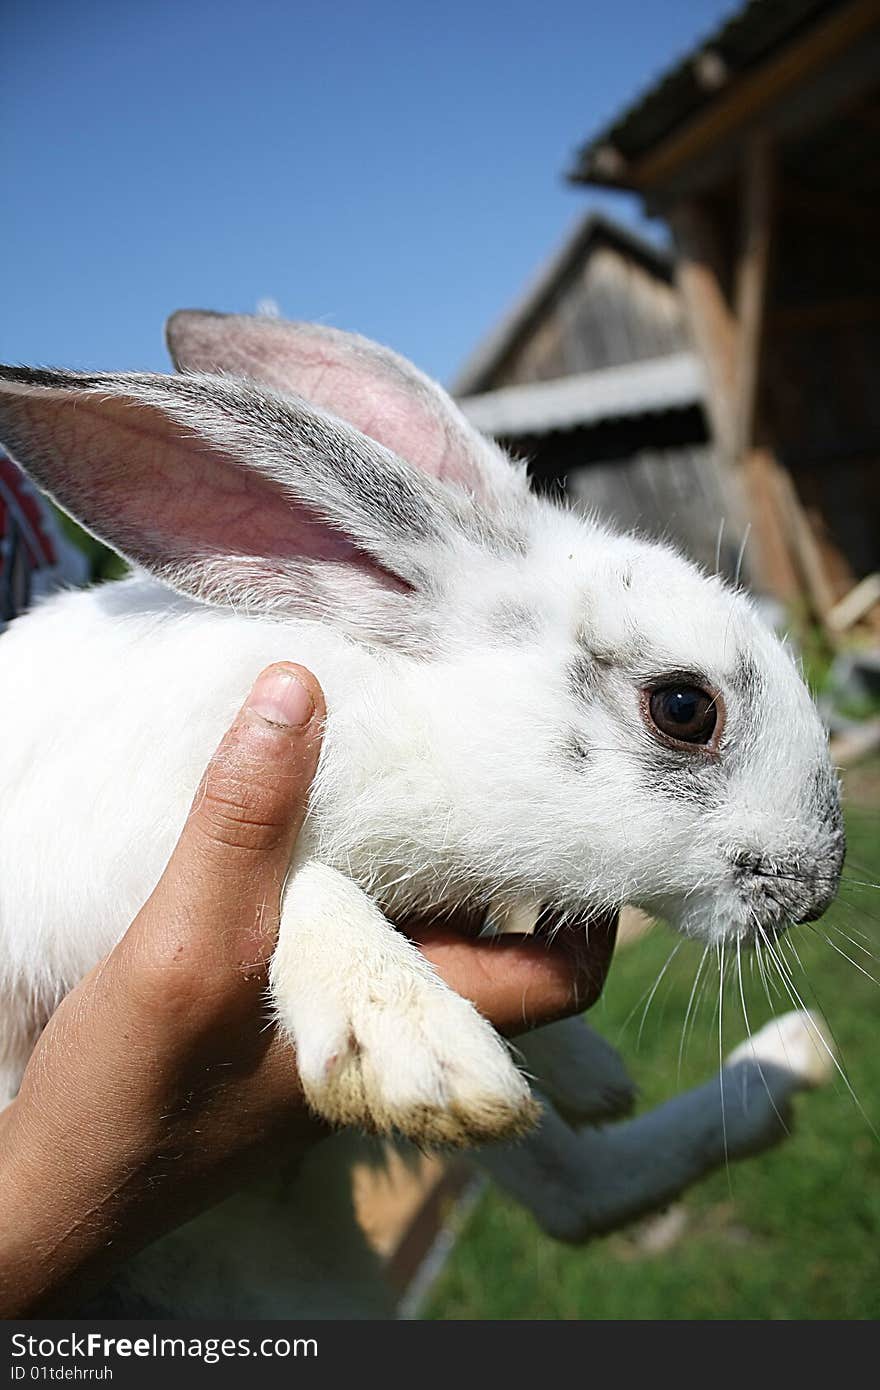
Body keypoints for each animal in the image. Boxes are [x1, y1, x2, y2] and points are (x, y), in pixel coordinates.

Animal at [0, 312, 839, 1150]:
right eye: (684, 708)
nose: (817, 894)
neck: (412, 720)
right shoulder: (130, 866)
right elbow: (307, 888)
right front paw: (427, 1061)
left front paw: (592, 1075)